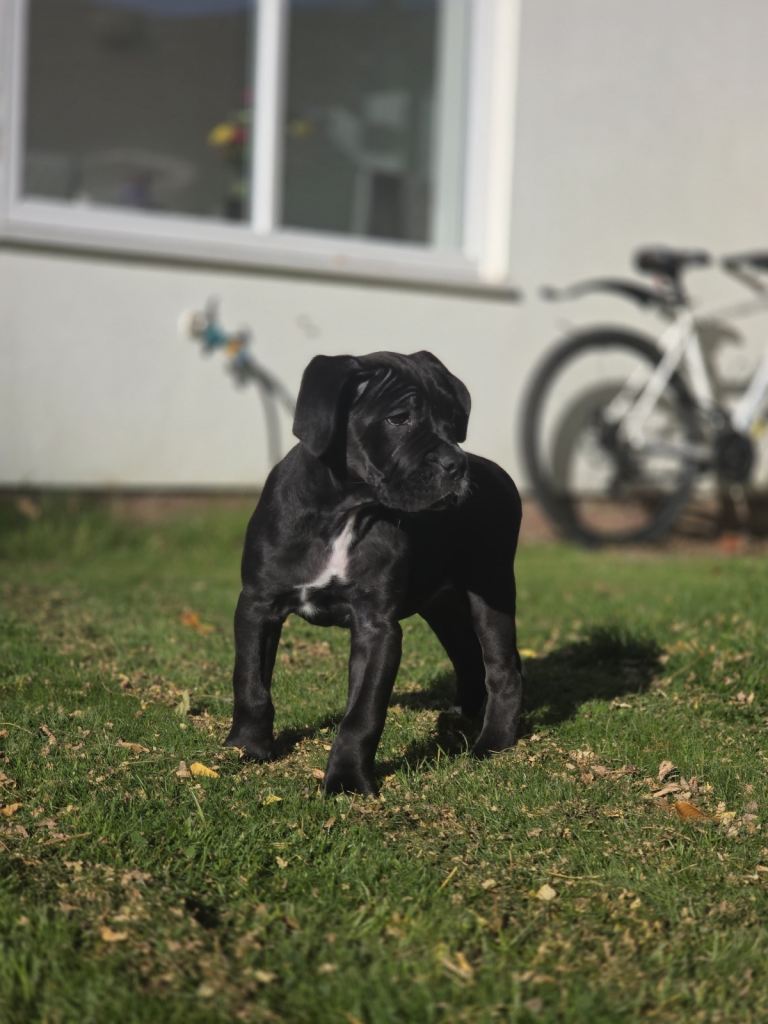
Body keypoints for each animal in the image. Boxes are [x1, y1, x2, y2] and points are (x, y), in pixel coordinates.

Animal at [225, 350, 523, 795]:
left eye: (453, 421)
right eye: (399, 419)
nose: (457, 464)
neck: (344, 511)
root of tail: (500, 474)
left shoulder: (377, 626)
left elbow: (362, 713)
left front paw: (348, 779)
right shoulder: (257, 603)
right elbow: (249, 681)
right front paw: (247, 746)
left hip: (492, 586)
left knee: (503, 667)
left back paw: (494, 741)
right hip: (442, 603)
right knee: (467, 654)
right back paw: (461, 717)